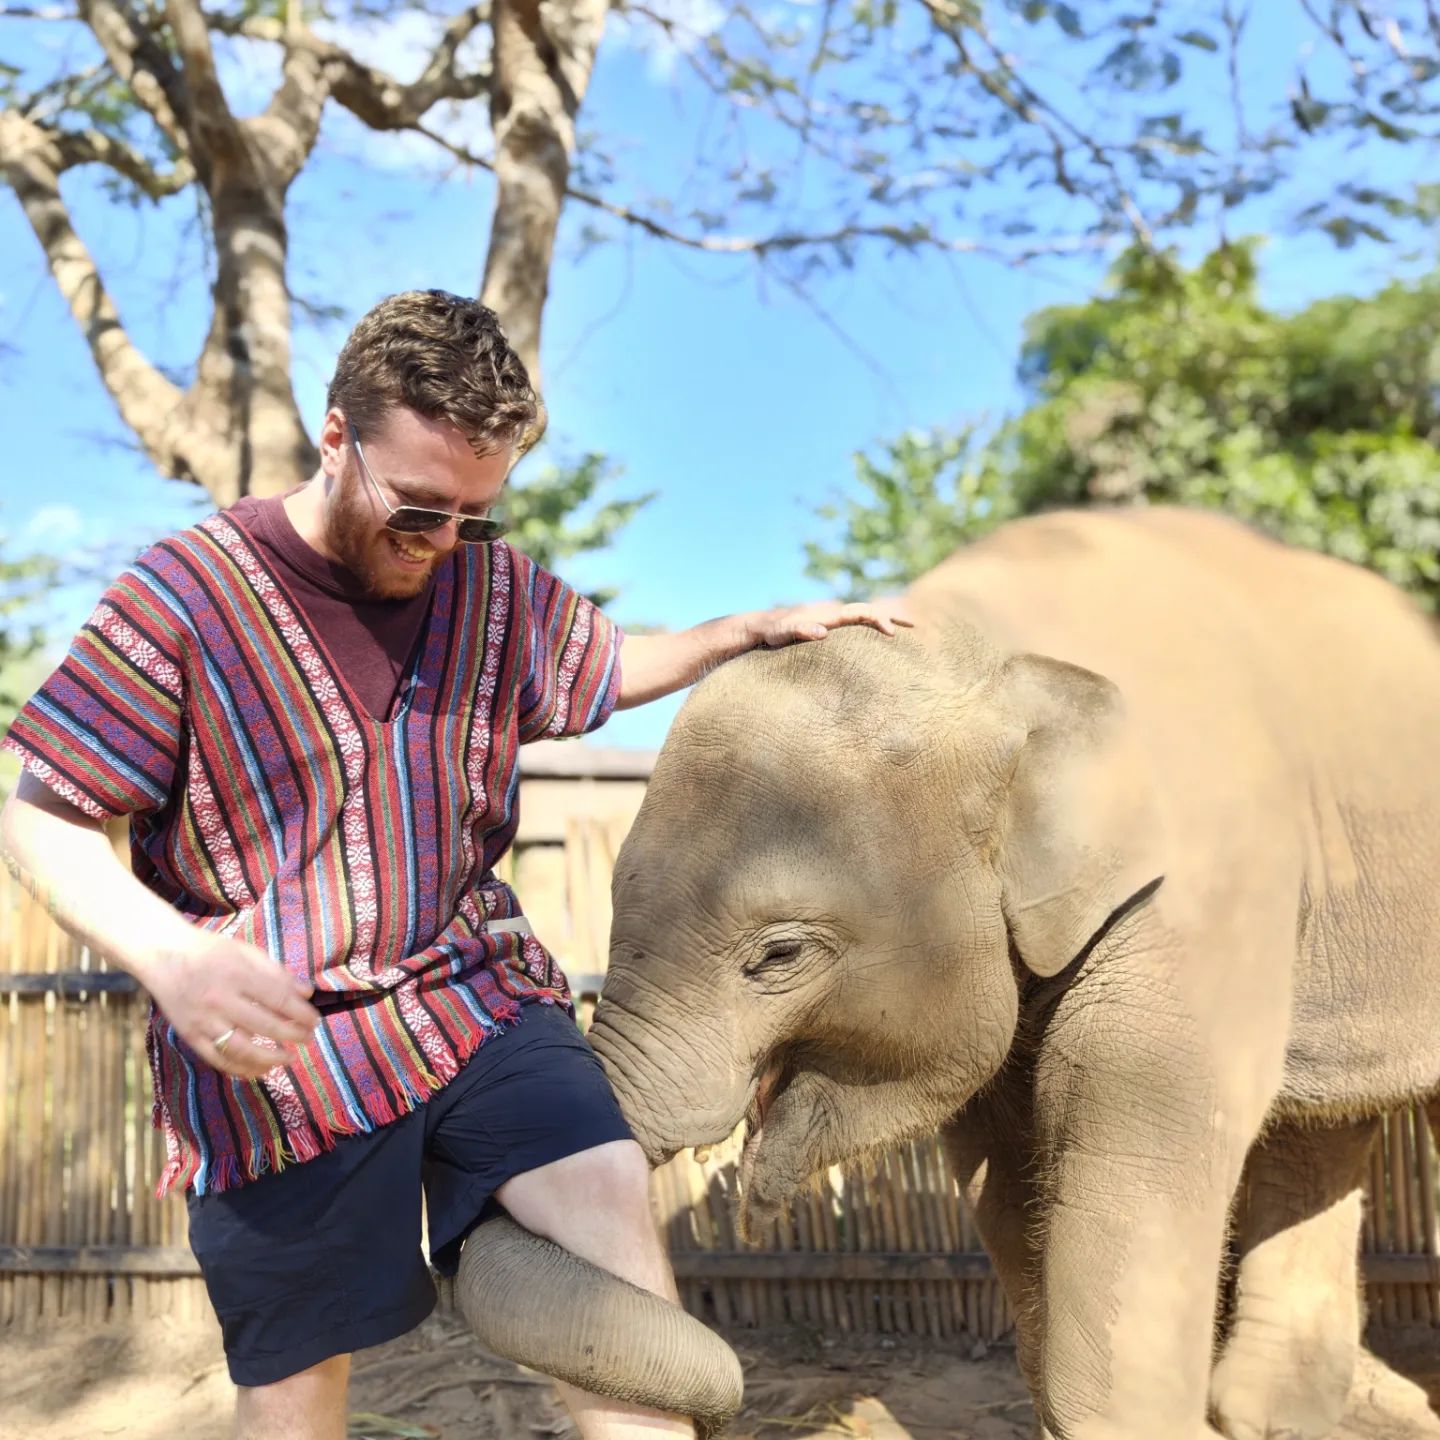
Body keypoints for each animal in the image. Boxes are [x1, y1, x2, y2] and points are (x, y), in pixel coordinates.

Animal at [460, 509, 1440, 1440]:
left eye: (778, 955)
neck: (979, 647)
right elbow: (1004, 1161)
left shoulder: (1213, 879)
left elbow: (1133, 1136)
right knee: (1325, 1128)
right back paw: (1271, 1419)